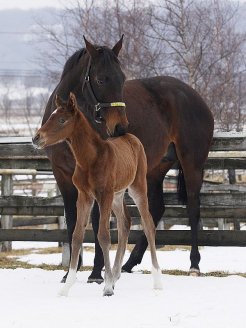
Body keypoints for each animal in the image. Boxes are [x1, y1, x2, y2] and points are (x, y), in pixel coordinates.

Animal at [33, 93, 163, 298]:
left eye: (62, 120)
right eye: (51, 117)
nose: (36, 138)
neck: (90, 159)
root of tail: (131, 137)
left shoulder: (104, 195)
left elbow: (103, 236)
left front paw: (107, 287)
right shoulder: (84, 196)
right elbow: (77, 235)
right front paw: (66, 286)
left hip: (137, 187)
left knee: (148, 224)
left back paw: (157, 281)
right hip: (117, 195)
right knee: (125, 222)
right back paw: (116, 275)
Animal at [40, 35, 213, 282]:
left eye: (122, 79)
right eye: (101, 79)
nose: (120, 127)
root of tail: (194, 96)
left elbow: (98, 220)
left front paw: (96, 272)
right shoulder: (62, 175)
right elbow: (73, 220)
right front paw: (69, 272)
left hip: (192, 164)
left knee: (193, 208)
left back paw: (194, 264)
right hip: (154, 168)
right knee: (155, 209)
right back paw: (130, 263)